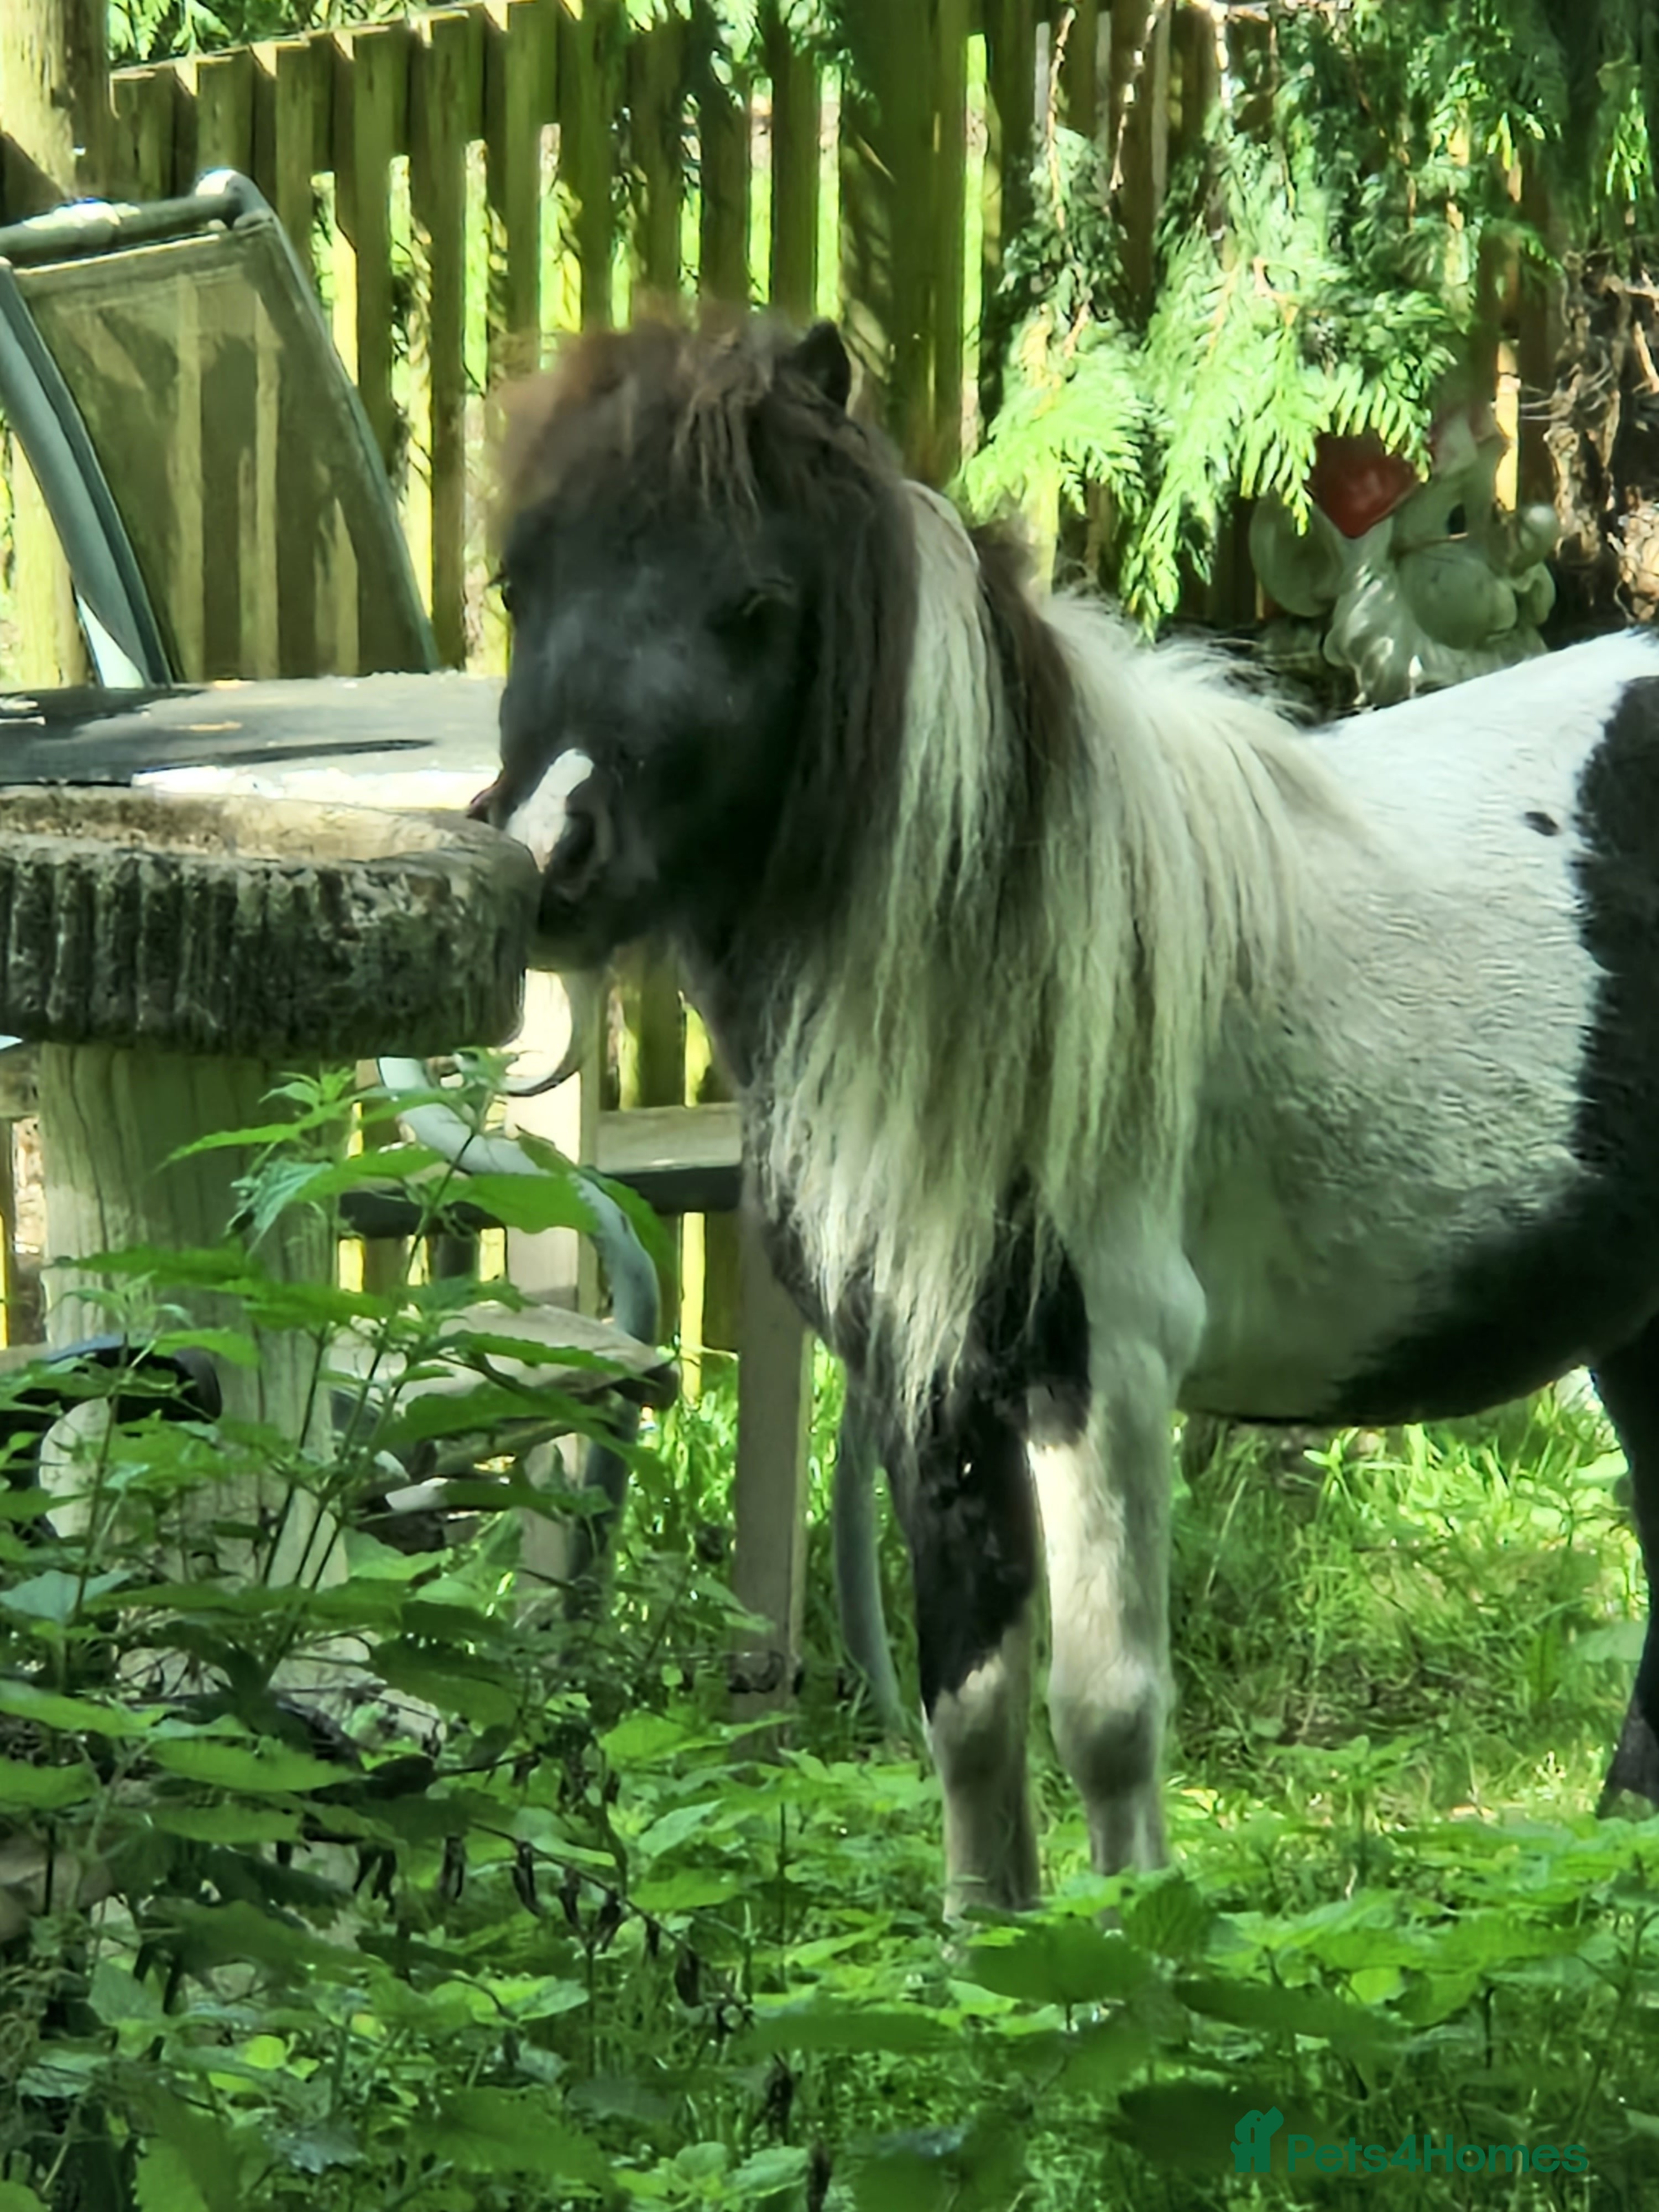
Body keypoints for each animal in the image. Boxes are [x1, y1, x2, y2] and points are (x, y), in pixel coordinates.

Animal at [476, 313, 1659, 1913]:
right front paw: (991, 1953)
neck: (1002, 971)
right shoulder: (924, 1384)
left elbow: (1104, 1712)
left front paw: (1137, 1941)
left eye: (752, 604)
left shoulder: (1099, 1376)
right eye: (517, 586)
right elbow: (968, 1710)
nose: (550, 858)